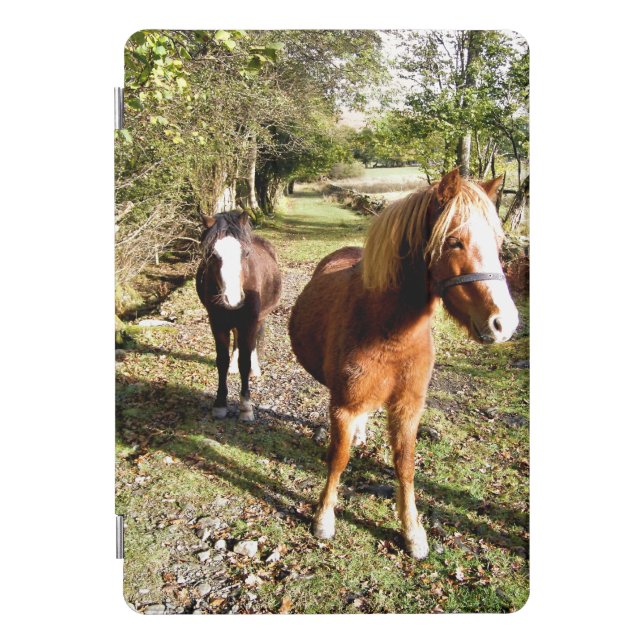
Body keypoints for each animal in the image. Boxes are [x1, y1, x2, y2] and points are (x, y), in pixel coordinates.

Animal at [196, 208, 281, 422]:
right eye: (212, 254)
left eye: (246, 253)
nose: (232, 299)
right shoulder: (217, 323)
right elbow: (222, 361)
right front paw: (220, 404)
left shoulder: (249, 323)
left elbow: (245, 360)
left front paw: (245, 407)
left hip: (259, 319)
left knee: (254, 343)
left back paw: (255, 369)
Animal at [288, 168, 519, 558]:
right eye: (454, 242)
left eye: (499, 242)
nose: (505, 324)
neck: (388, 332)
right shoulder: (343, 407)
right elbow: (338, 458)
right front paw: (323, 517)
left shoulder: (409, 407)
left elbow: (406, 465)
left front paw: (413, 531)